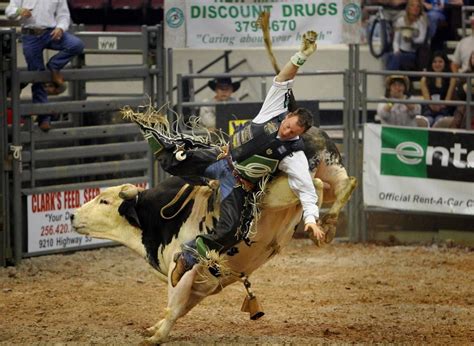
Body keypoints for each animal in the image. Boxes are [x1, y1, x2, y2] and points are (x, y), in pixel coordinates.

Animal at [71, 126, 356, 344]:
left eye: (105, 201)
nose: (72, 216)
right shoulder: (205, 282)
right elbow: (181, 307)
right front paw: (155, 328)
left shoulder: (183, 267)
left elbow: (174, 306)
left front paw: (155, 337)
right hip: (331, 167)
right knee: (345, 183)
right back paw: (329, 226)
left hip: (279, 192)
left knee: (315, 186)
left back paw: (319, 226)